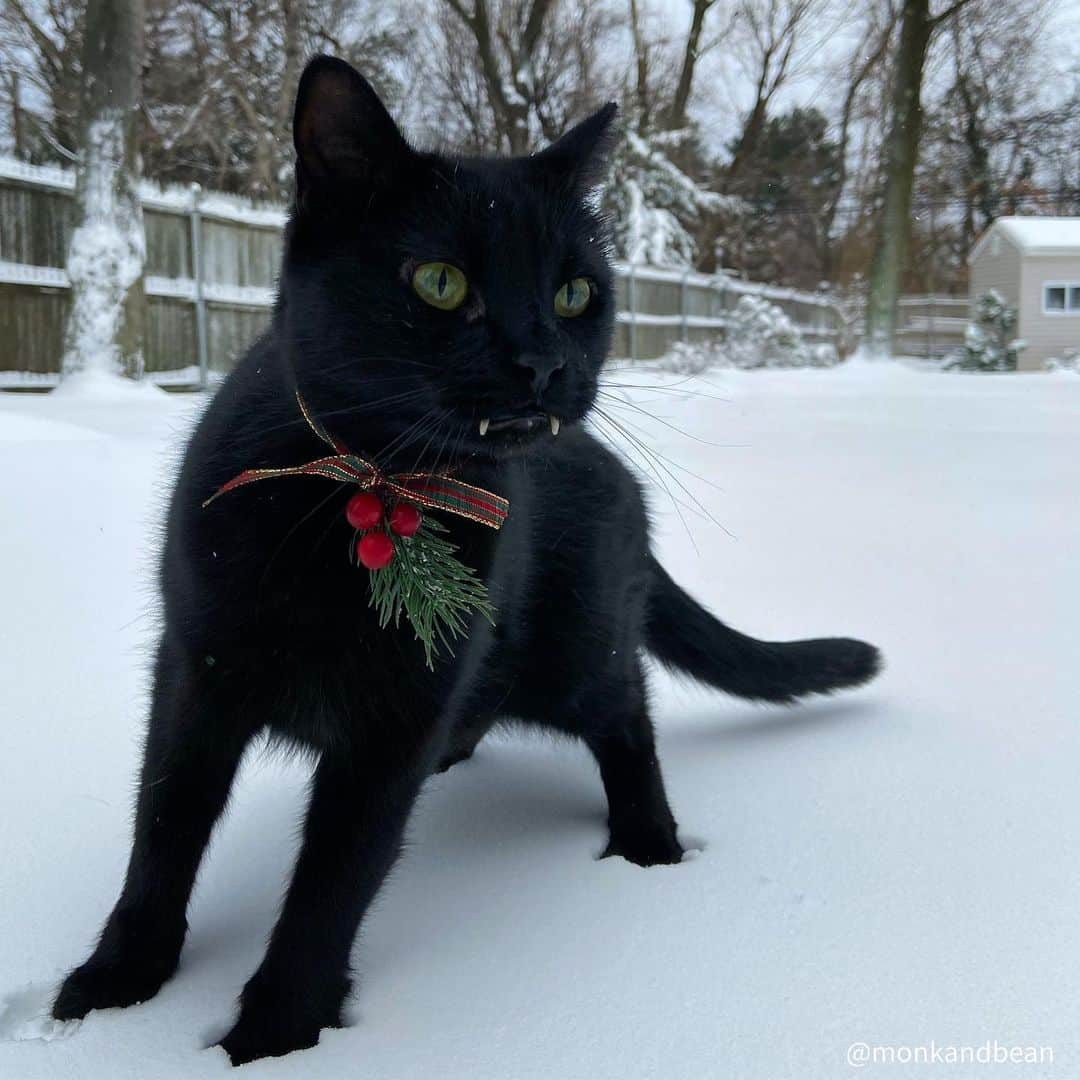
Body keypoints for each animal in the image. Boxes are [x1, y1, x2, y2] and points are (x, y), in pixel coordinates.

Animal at [50, 56, 881, 1062]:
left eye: (574, 294)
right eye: (439, 282)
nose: (542, 363)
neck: (366, 489)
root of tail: (619, 476)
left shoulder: (390, 721)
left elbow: (333, 883)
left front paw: (275, 1035)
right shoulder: (195, 674)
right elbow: (162, 833)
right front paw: (115, 983)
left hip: (573, 657)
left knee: (627, 714)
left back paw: (650, 846)